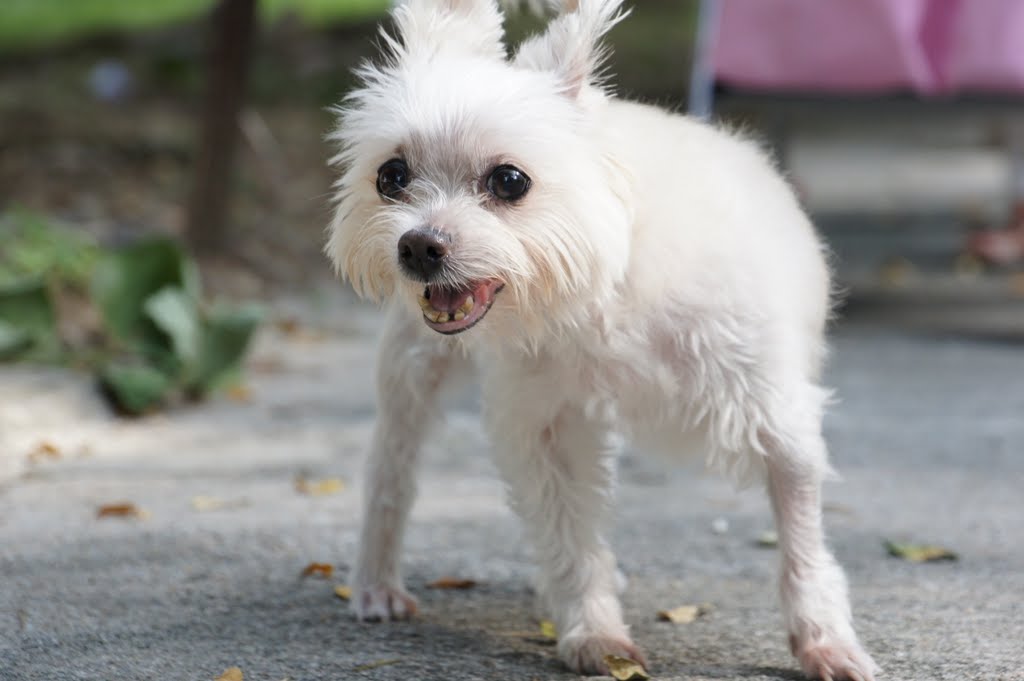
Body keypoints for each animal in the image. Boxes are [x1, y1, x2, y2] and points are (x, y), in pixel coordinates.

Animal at [327, 2, 880, 675]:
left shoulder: (774, 417)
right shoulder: (546, 427)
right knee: (392, 471)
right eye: (392, 176)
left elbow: (802, 542)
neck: (599, 293)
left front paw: (823, 638)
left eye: (509, 181)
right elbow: (570, 538)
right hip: (413, 372)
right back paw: (376, 581)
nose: (417, 247)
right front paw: (593, 630)